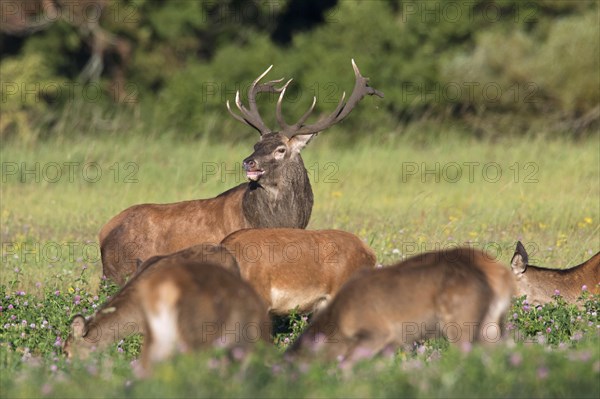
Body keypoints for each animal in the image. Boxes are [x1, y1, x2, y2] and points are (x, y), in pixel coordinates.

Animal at [99, 58, 384, 284]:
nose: (249, 162)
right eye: (256, 145)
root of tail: (104, 231)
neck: (280, 221)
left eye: (280, 149)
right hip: (119, 271)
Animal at [286, 248, 516, 368]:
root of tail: (504, 277)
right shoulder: (392, 341)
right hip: (491, 324)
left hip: (461, 321)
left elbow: (347, 365)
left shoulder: (377, 331)